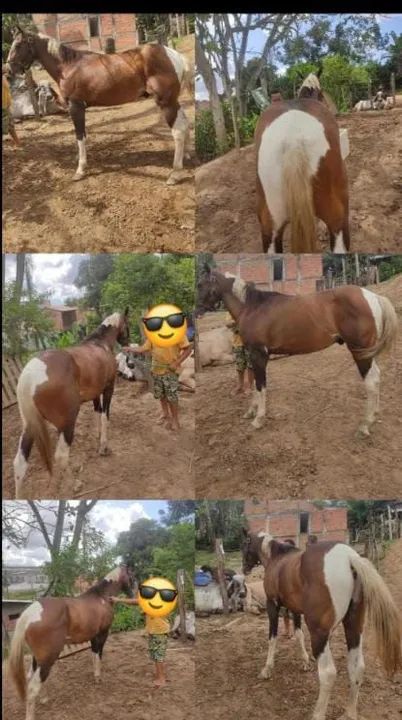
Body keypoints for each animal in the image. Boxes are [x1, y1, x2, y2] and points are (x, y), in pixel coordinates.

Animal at [6, 27, 192, 184]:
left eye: (19, 44)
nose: (8, 72)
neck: (68, 66)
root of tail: (173, 55)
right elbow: (82, 135)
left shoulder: (76, 106)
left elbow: (80, 135)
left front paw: (80, 169)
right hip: (173, 102)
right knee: (184, 124)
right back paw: (187, 155)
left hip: (166, 102)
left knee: (177, 132)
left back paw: (175, 174)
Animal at [7, 564, 136, 720]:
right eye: (132, 576)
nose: (134, 594)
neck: (101, 597)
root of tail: (30, 614)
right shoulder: (102, 634)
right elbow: (99, 654)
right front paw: (98, 677)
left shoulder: (93, 637)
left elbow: (93, 654)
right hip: (48, 659)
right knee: (33, 687)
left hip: (37, 658)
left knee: (31, 677)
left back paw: (44, 699)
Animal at [13, 309, 130, 499]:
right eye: (127, 324)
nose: (127, 344)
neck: (100, 344)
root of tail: (30, 376)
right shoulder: (108, 389)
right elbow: (104, 416)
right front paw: (103, 446)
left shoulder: (95, 393)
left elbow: (97, 413)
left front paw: (97, 438)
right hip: (67, 424)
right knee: (61, 456)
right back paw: (74, 484)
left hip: (29, 427)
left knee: (19, 464)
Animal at [196, 268, 398, 436]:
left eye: (201, 284)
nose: (196, 310)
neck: (252, 307)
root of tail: (371, 296)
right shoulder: (252, 354)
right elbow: (254, 383)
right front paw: (251, 412)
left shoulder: (259, 354)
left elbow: (261, 384)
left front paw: (258, 420)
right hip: (366, 353)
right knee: (376, 377)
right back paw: (373, 416)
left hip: (359, 351)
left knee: (371, 381)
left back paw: (364, 426)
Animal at [241, 529, 401, 720]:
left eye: (245, 544)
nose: (244, 568)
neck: (277, 559)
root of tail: (349, 557)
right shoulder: (295, 609)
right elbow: (298, 634)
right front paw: (304, 661)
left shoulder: (272, 605)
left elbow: (272, 637)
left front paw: (267, 669)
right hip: (354, 627)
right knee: (357, 667)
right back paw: (349, 712)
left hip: (319, 634)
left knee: (328, 673)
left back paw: (318, 713)